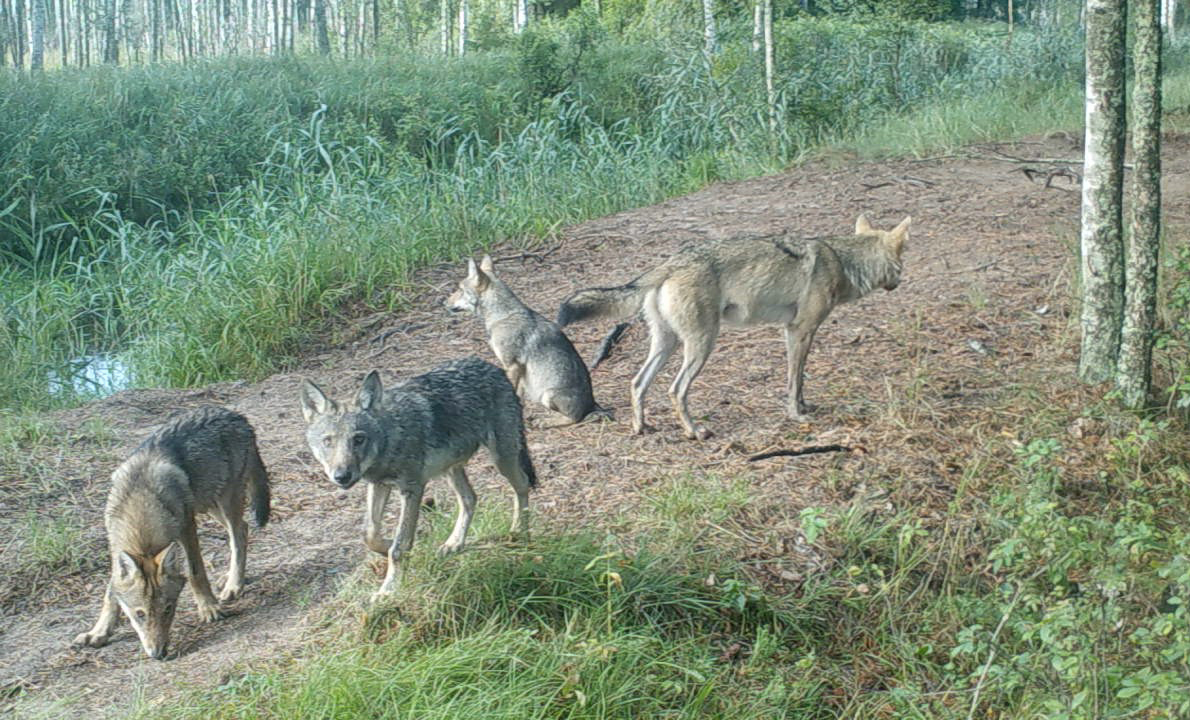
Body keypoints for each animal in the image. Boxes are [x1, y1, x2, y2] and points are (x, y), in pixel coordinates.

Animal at [73, 406, 271, 659]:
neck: (141, 499)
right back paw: (231, 579)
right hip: (209, 505)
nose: (158, 653)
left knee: (238, 534)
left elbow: (196, 572)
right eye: (140, 614)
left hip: (224, 502)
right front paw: (98, 632)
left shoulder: (186, 527)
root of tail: (234, 414)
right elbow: (111, 593)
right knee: (242, 531)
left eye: (168, 609)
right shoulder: (115, 544)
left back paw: (234, 585)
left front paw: (209, 608)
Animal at [300, 358, 537, 601]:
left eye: (358, 439)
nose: (341, 476)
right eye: (328, 441)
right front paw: (388, 547)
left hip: (502, 460)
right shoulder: (378, 484)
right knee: (470, 498)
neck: (392, 435)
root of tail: (490, 366)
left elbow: (399, 546)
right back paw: (454, 543)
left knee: (522, 485)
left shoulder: (412, 489)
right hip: (451, 469)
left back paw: (519, 532)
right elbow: (370, 534)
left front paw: (388, 590)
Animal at [445, 254, 606, 425]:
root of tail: (591, 404)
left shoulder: (512, 365)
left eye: (460, 290)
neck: (502, 316)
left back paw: (545, 421)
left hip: (547, 395)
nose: (444, 303)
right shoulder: (520, 370)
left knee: (574, 419)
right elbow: (518, 399)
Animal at [557, 215, 911, 440]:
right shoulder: (799, 331)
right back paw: (694, 432)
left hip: (667, 344)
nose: (901, 282)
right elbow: (794, 380)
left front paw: (804, 405)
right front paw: (797, 415)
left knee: (637, 383)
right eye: (902, 266)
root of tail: (668, 263)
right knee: (675, 390)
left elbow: (799, 380)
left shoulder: (793, 333)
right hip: (701, 346)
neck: (841, 260)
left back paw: (641, 428)